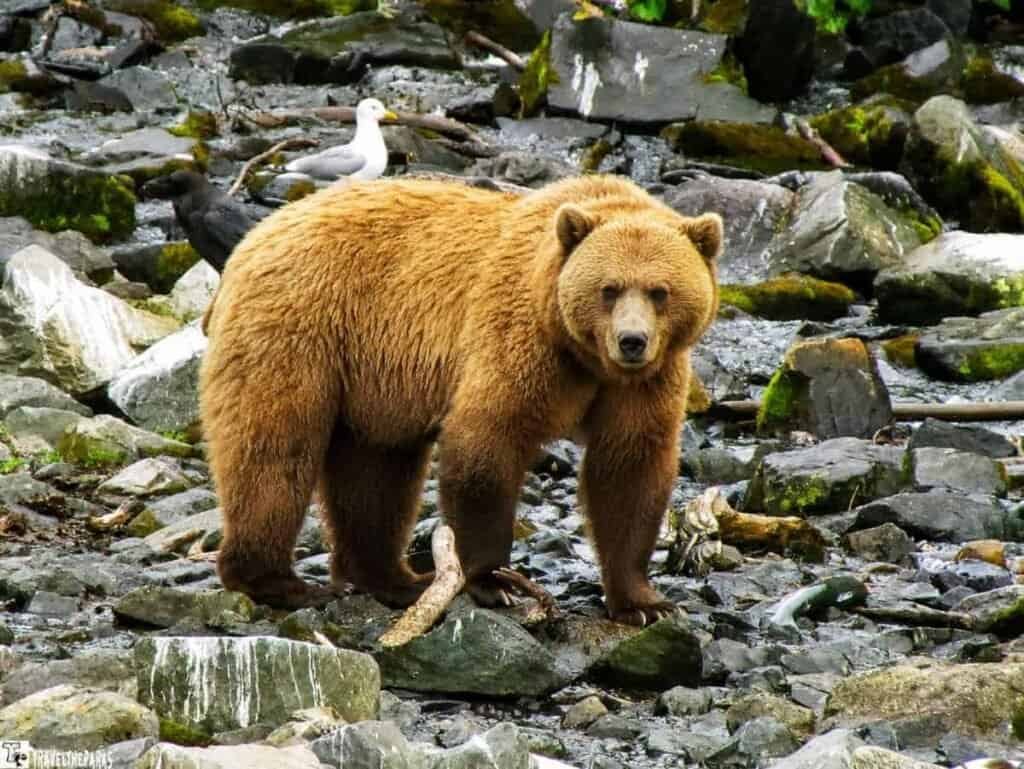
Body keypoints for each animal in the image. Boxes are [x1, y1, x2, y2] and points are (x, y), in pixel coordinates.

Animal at [199, 174, 722, 626]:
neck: (582, 354)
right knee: (273, 448)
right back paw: (279, 582)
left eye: (659, 291)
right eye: (608, 289)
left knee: (375, 470)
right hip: (299, 327)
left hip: (372, 378)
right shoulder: (519, 344)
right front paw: (494, 581)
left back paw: (395, 579)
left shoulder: (644, 383)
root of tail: (256, 236)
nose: (632, 341)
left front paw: (644, 602)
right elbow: (487, 442)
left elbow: (629, 468)